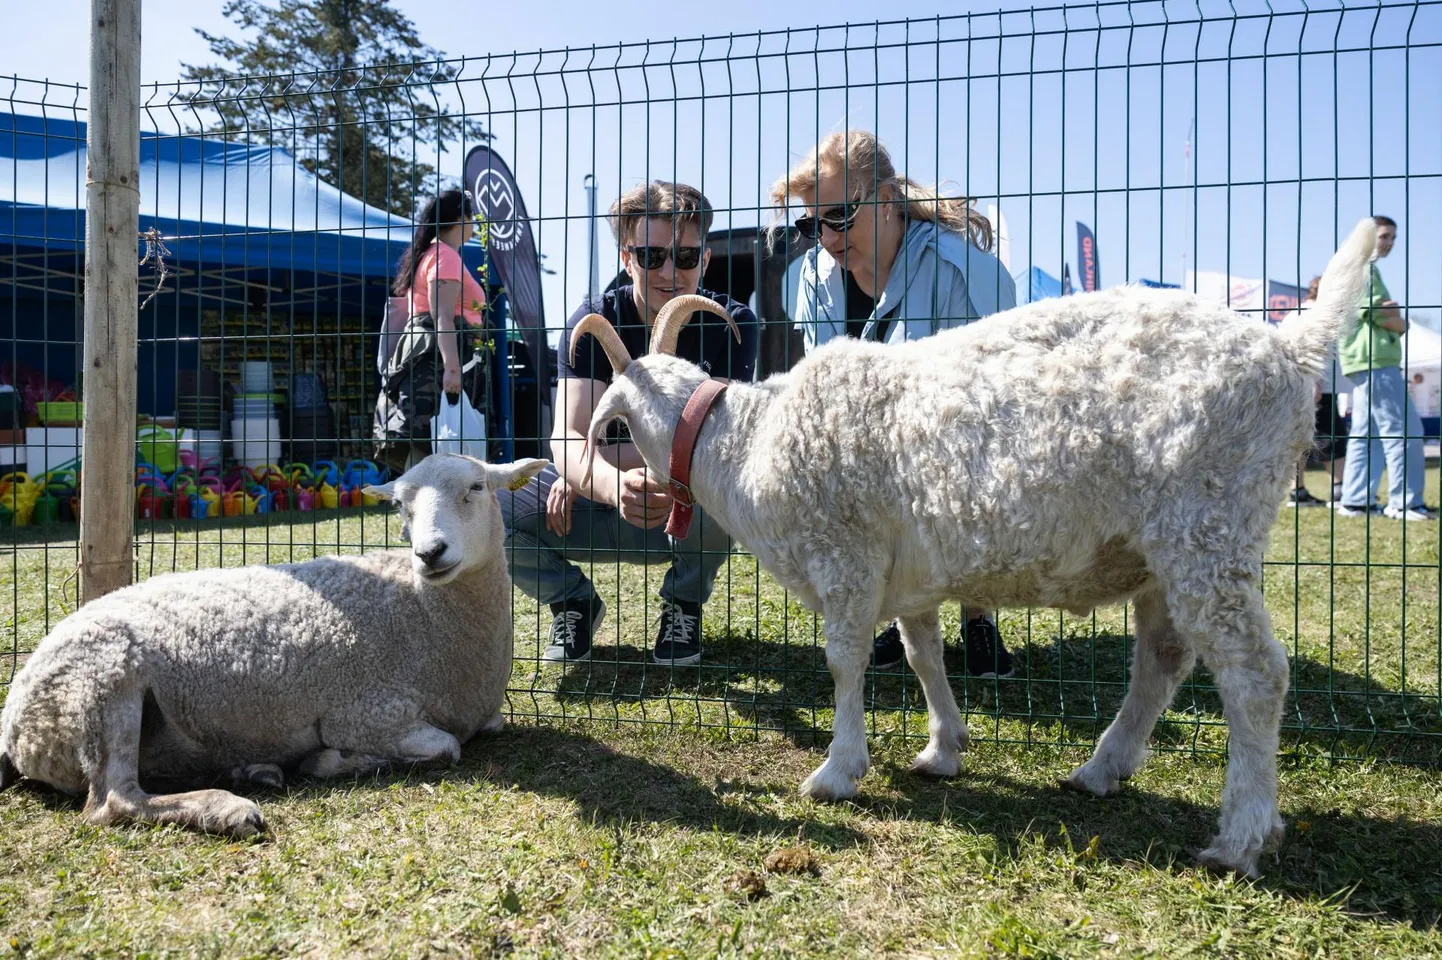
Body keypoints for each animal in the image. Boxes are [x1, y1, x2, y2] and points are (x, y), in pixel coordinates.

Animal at [2, 452, 542, 836]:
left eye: (477, 487)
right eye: (399, 504)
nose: (430, 553)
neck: (422, 612)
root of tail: (14, 726)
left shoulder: (478, 714)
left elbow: (481, 729)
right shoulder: (366, 713)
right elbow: (447, 747)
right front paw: (329, 762)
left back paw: (254, 772)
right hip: (101, 678)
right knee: (114, 801)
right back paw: (229, 809)